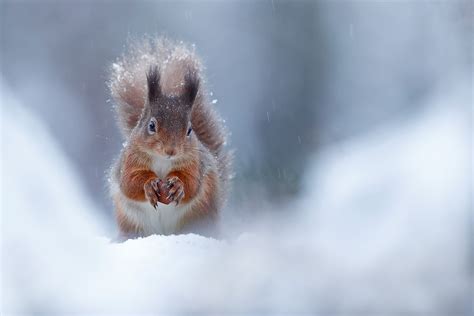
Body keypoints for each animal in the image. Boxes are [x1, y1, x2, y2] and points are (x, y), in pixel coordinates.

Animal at [108, 38, 233, 237]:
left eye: (189, 130)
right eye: (151, 126)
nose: (171, 150)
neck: (162, 161)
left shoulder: (195, 163)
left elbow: (192, 183)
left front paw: (178, 185)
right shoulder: (129, 161)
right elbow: (129, 182)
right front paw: (149, 185)